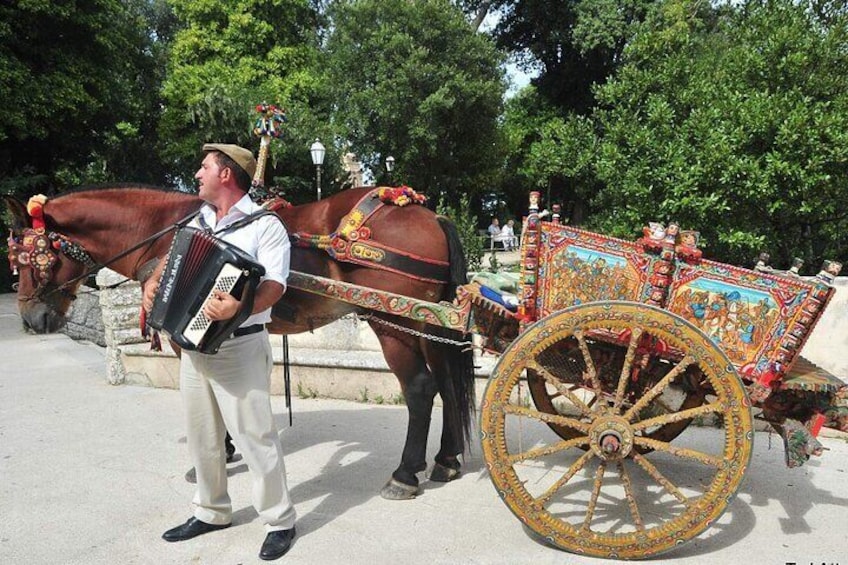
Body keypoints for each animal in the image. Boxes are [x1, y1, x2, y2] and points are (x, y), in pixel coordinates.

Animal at [3, 185, 474, 498]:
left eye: (30, 259)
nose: (30, 318)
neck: (162, 232)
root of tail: (430, 215)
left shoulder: (186, 336)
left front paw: (216, 453)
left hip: (392, 322)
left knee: (420, 389)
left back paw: (405, 473)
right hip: (429, 325)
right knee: (448, 386)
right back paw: (446, 460)